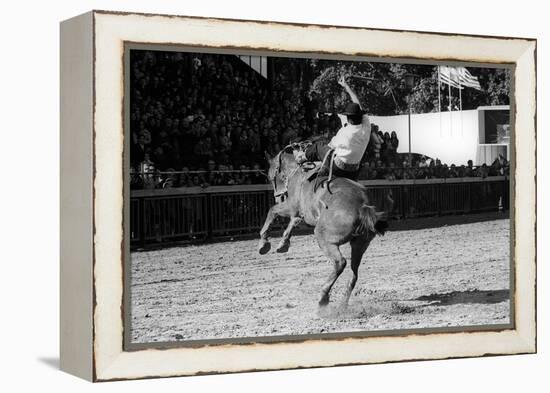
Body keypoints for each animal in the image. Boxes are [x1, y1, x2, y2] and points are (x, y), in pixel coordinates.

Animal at [258, 142, 392, 308]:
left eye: (271, 176)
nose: (277, 197)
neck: (297, 173)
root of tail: (362, 206)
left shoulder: (292, 206)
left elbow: (273, 211)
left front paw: (264, 243)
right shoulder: (299, 213)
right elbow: (293, 222)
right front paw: (283, 243)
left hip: (325, 238)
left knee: (340, 263)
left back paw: (323, 296)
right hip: (360, 244)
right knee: (354, 274)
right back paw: (342, 305)